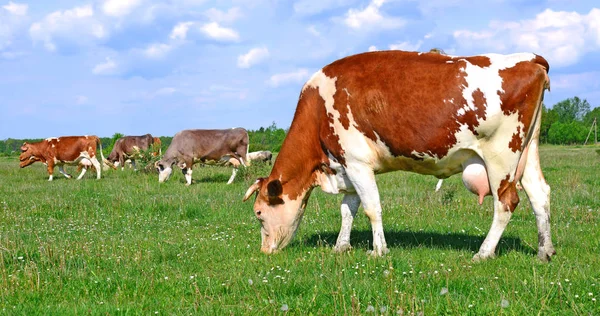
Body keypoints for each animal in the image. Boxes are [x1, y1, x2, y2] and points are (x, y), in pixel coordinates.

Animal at [243, 50, 552, 262]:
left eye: (259, 213)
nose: (265, 250)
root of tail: (529, 59)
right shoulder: (347, 165)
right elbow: (348, 209)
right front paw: (341, 246)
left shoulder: (356, 162)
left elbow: (371, 208)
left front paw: (378, 250)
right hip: (527, 153)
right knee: (540, 194)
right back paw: (544, 251)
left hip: (501, 156)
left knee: (506, 203)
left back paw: (484, 253)